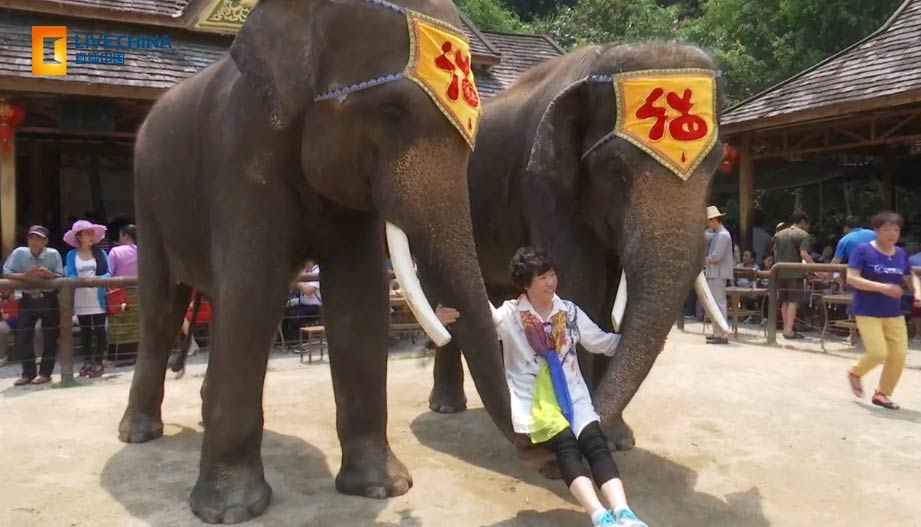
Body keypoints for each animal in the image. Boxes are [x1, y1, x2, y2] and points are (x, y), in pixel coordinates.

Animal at [116, 0, 520, 520]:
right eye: (391, 111)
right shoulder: (240, 154)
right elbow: (253, 289)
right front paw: (230, 512)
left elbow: (358, 297)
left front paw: (383, 489)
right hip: (146, 195)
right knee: (163, 308)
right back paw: (139, 434)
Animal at [422, 41, 724, 454]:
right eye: (618, 172)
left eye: (717, 168)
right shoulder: (544, 184)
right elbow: (581, 284)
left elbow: (604, 298)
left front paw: (617, 440)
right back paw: (447, 407)